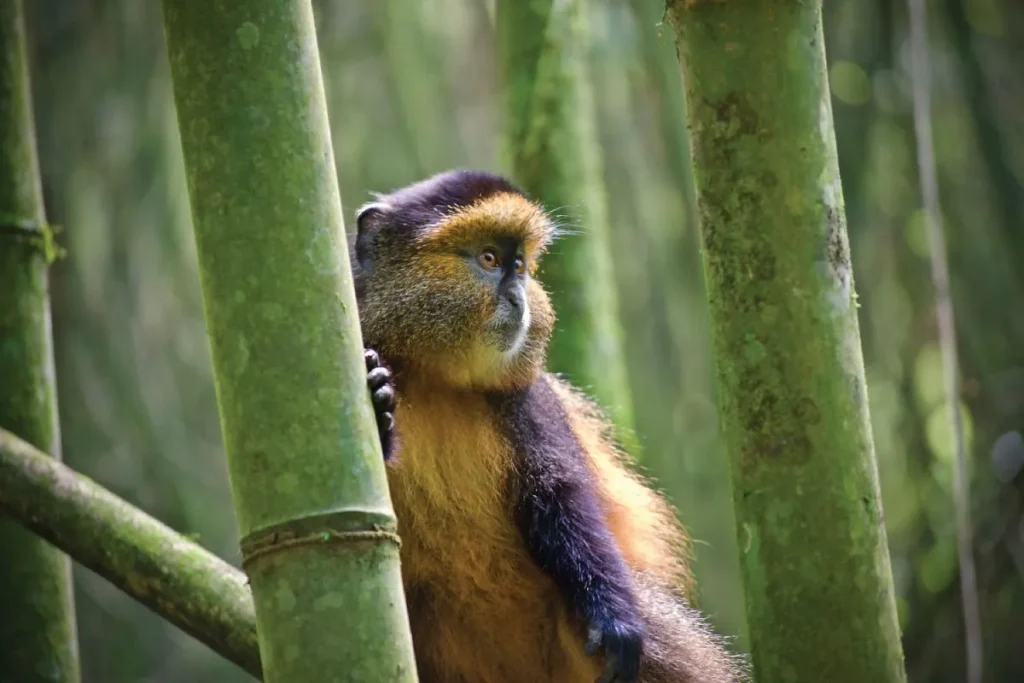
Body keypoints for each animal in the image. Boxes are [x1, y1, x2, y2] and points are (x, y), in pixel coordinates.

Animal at [352, 169, 745, 683]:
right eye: (489, 258)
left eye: (519, 267)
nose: (519, 298)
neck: (434, 376)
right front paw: (378, 406)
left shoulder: (530, 403)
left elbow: (559, 492)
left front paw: (615, 619)